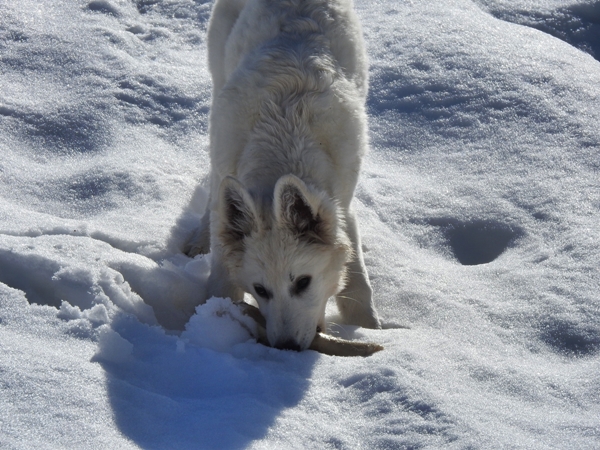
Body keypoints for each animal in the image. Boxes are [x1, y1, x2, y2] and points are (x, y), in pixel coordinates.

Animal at [188, 0, 380, 350]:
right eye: (260, 290)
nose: (286, 349)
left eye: (303, 283)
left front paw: (373, 331)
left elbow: (358, 283)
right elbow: (221, 281)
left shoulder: (342, 205)